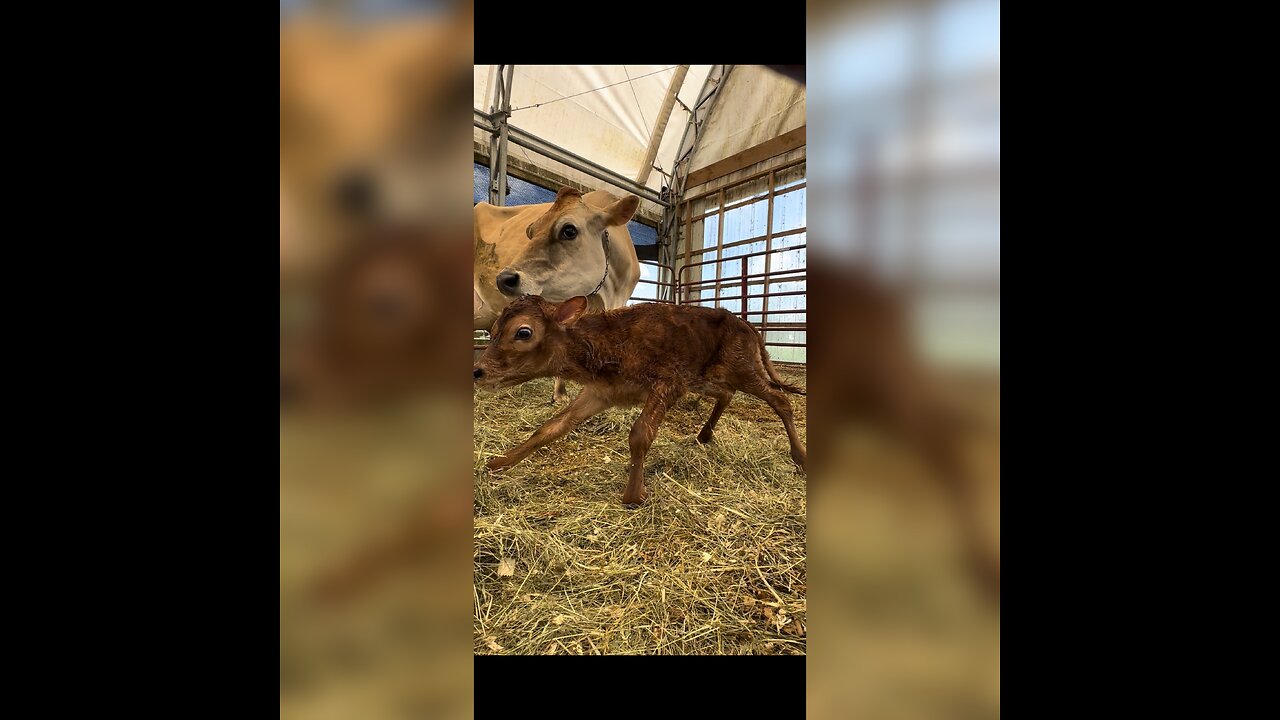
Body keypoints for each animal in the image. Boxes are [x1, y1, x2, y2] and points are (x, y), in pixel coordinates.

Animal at [476, 294, 803, 502]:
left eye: (523, 332)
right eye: (492, 331)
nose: (477, 371)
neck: (610, 344)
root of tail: (748, 326)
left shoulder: (669, 382)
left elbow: (640, 433)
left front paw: (634, 494)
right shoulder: (600, 392)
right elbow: (551, 427)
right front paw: (500, 463)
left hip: (742, 368)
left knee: (780, 400)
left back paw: (799, 456)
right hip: (706, 378)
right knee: (726, 394)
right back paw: (704, 435)